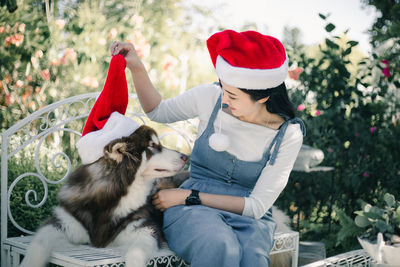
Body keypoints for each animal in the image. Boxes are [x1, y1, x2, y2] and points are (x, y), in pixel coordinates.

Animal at [21, 126, 190, 267]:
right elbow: (38, 244)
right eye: (153, 146)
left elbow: (135, 253)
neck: (113, 197)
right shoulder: (64, 222)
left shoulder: (146, 228)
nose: (185, 156)